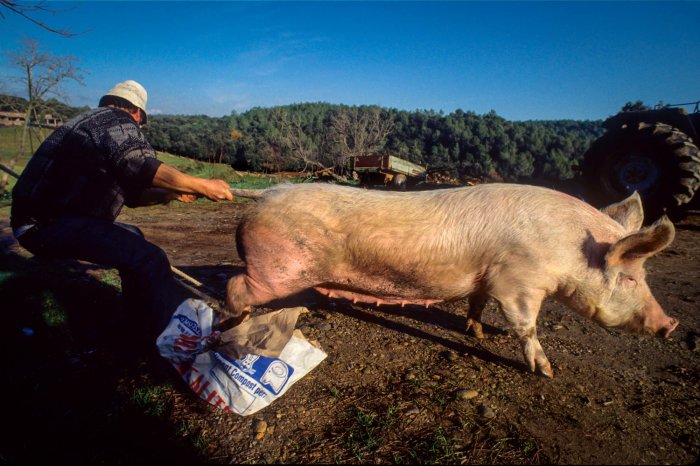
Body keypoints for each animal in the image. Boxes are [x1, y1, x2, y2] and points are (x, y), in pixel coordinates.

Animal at [228, 183, 680, 378]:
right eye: (628, 278)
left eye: (643, 275)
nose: (671, 324)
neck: (567, 251)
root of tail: (263, 194)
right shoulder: (518, 283)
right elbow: (526, 326)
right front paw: (548, 372)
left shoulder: (487, 280)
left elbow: (476, 303)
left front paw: (477, 334)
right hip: (277, 270)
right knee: (235, 287)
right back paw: (236, 323)